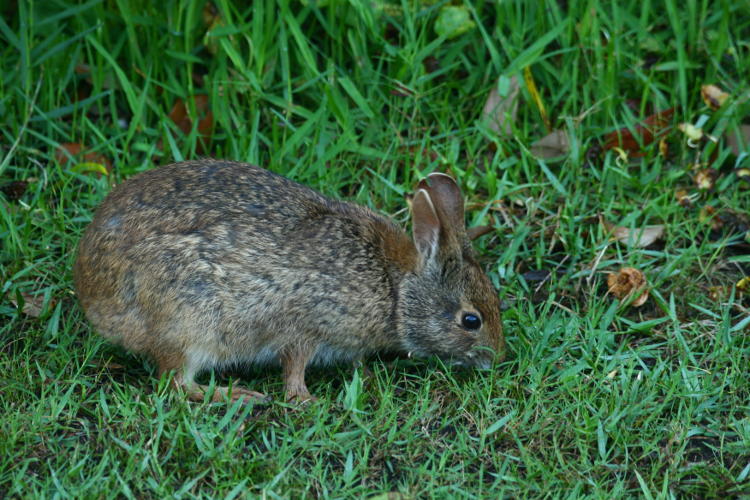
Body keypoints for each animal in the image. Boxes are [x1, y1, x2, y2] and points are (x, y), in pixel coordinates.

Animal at [73, 160, 508, 402]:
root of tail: (92, 296)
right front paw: (305, 400)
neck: (395, 289)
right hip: (190, 324)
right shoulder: (306, 325)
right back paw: (243, 397)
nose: (496, 359)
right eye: (471, 320)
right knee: (178, 383)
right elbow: (294, 367)